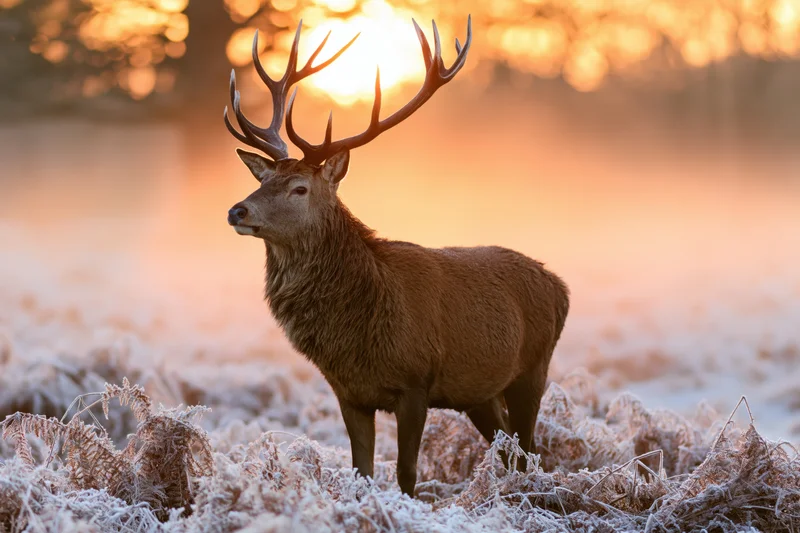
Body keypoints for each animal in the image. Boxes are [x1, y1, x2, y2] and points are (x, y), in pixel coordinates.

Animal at [223, 17, 569, 497]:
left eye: (299, 188)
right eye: (263, 179)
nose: (238, 210)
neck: (358, 334)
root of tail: (561, 288)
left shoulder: (416, 381)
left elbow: (407, 473)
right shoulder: (349, 393)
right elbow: (362, 470)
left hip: (533, 368)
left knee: (531, 452)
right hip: (479, 392)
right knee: (509, 450)